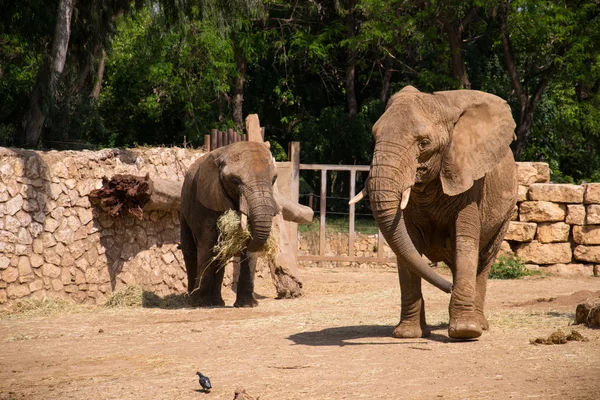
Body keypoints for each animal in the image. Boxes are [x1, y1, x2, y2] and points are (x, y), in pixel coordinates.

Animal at [179, 141, 280, 310]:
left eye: (274, 179)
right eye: (235, 181)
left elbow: (249, 246)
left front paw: (247, 305)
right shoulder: (203, 200)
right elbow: (207, 243)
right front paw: (200, 303)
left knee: (221, 257)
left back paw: (217, 302)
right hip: (184, 208)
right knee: (190, 250)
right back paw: (192, 299)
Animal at [352, 86, 516, 340]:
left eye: (424, 143)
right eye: (374, 137)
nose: (448, 288)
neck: (440, 104)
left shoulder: (471, 182)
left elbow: (465, 241)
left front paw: (465, 332)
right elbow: (407, 244)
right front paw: (408, 334)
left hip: (506, 212)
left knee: (484, 258)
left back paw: (478, 324)